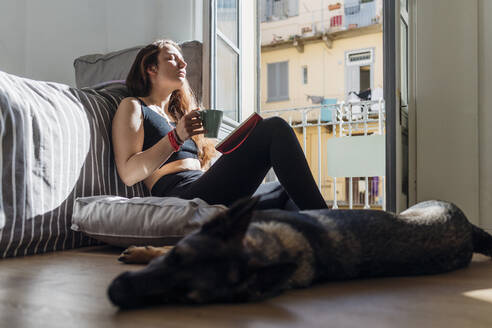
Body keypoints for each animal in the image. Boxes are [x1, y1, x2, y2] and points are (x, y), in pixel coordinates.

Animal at [107, 196, 492, 308]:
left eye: (186, 297)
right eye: (176, 261)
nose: (116, 291)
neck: (268, 249)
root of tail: (465, 227)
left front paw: (141, 251)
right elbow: (164, 245)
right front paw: (142, 250)